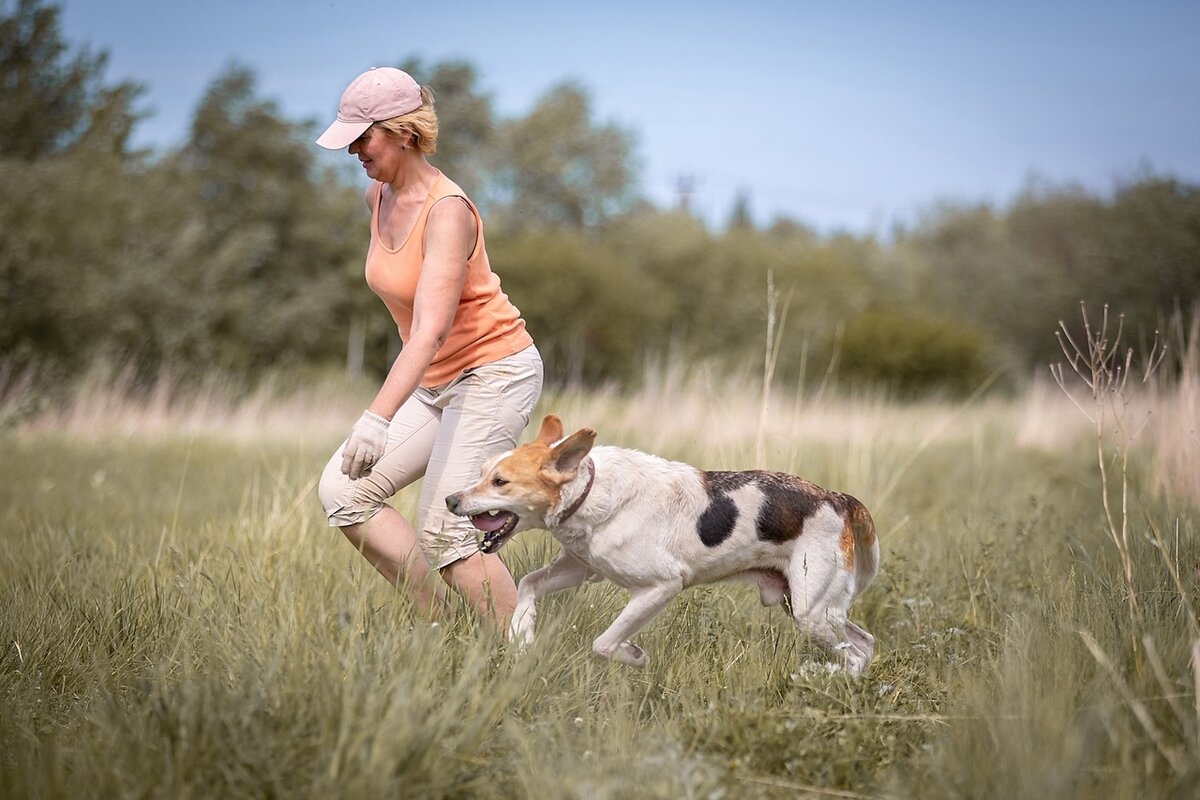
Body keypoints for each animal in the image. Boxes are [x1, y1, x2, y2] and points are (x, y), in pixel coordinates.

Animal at [446, 419, 878, 676]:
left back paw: (829, 677)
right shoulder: (582, 567)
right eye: (482, 472)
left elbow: (604, 643)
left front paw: (634, 656)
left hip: (811, 612)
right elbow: (528, 584)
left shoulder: (661, 587)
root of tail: (838, 498)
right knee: (866, 643)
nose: (450, 499)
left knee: (857, 653)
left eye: (500, 482)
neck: (591, 493)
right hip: (810, 607)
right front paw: (523, 633)